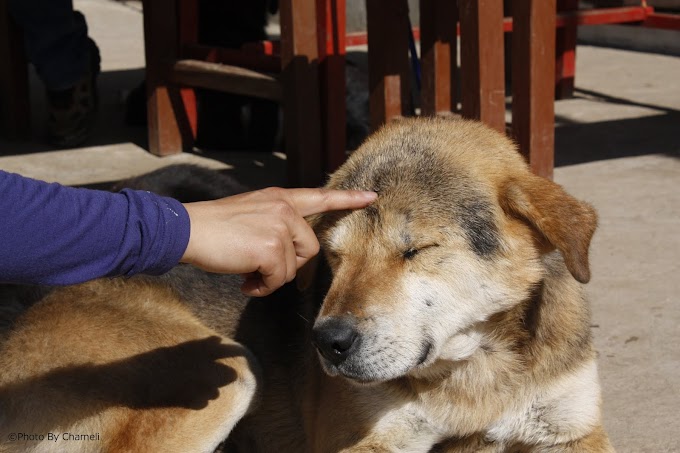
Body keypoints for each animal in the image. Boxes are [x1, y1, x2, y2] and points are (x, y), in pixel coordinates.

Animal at [0, 117, 612, 452]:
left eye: (414, 250)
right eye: (333, 258)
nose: (328, 343)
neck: (475, 368)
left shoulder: (574, 433)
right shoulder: (363, 441)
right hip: (228, 369)